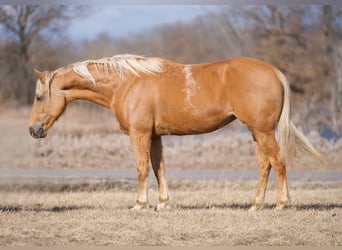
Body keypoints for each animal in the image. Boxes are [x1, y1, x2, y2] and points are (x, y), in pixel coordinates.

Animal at [29, 53, 324, 210]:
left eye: (39, 97)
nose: (33, 130)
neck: (127, 83)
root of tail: (274, 71)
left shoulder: (139, 134)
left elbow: (142, 168)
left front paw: (140, 204)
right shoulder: (155, 136)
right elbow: (158, 168)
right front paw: (162, 203)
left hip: (262, 131)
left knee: (278, 162)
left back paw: (281, 203)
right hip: (255, 132)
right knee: (265, 165)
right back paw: (255, 205)